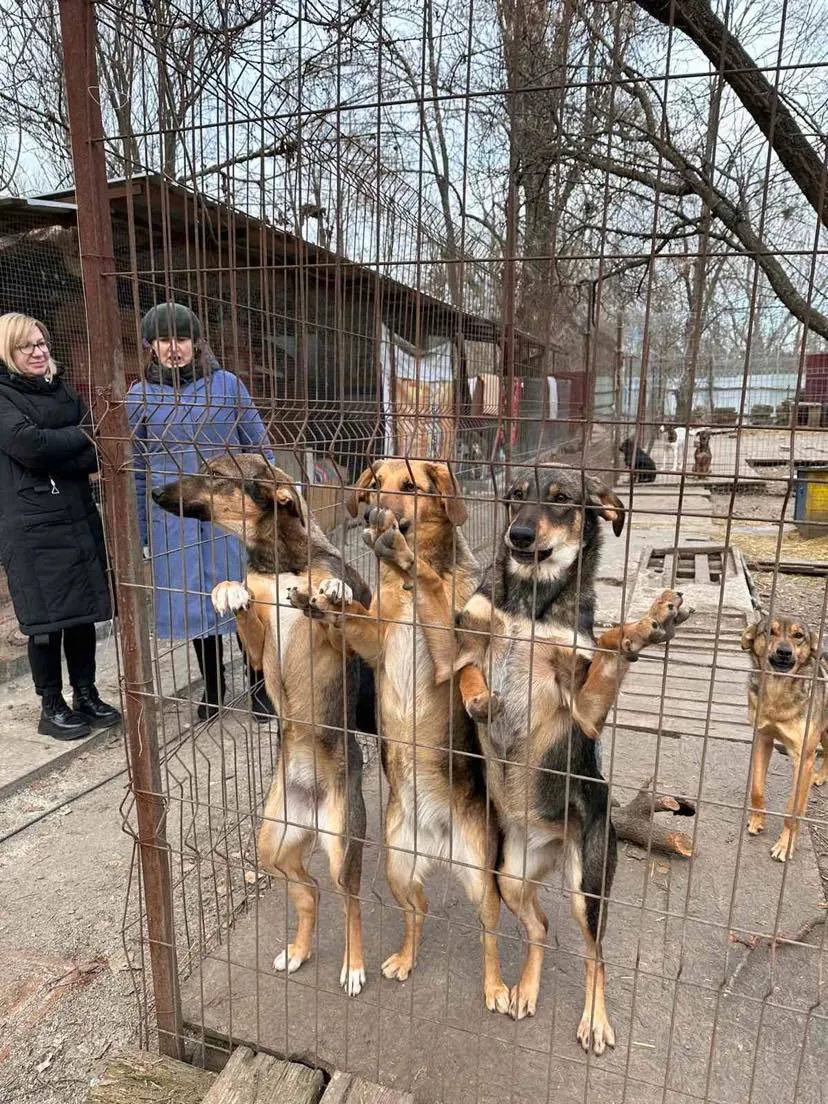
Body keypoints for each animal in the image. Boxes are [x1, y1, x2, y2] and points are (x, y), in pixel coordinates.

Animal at [154, 457, 375, 1002]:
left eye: (216, 473)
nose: (155, 493)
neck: (280, 562)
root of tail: (312, 806)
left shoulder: (341, 638)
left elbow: (337, 604)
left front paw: (331, 592)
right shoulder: (254, 650)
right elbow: (243, 609)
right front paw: (226, 590)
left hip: (343, 847)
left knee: (351, 903)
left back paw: (354, 966)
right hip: (272, 844)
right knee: (310, 891)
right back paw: (298, 950)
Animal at [289, 461, 516, 1011]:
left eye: (411, 487)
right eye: (374, 485)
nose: (372, 512)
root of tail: (437, 840)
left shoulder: (459, 645)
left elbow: (468, 669)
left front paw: (479, 699)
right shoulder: (376, 641)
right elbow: (353, 618)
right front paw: (323, 598)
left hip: (483, 883)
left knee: (490, 934)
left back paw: (496, 987)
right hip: (396, 866)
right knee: (419, 911)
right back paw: (405, 958)